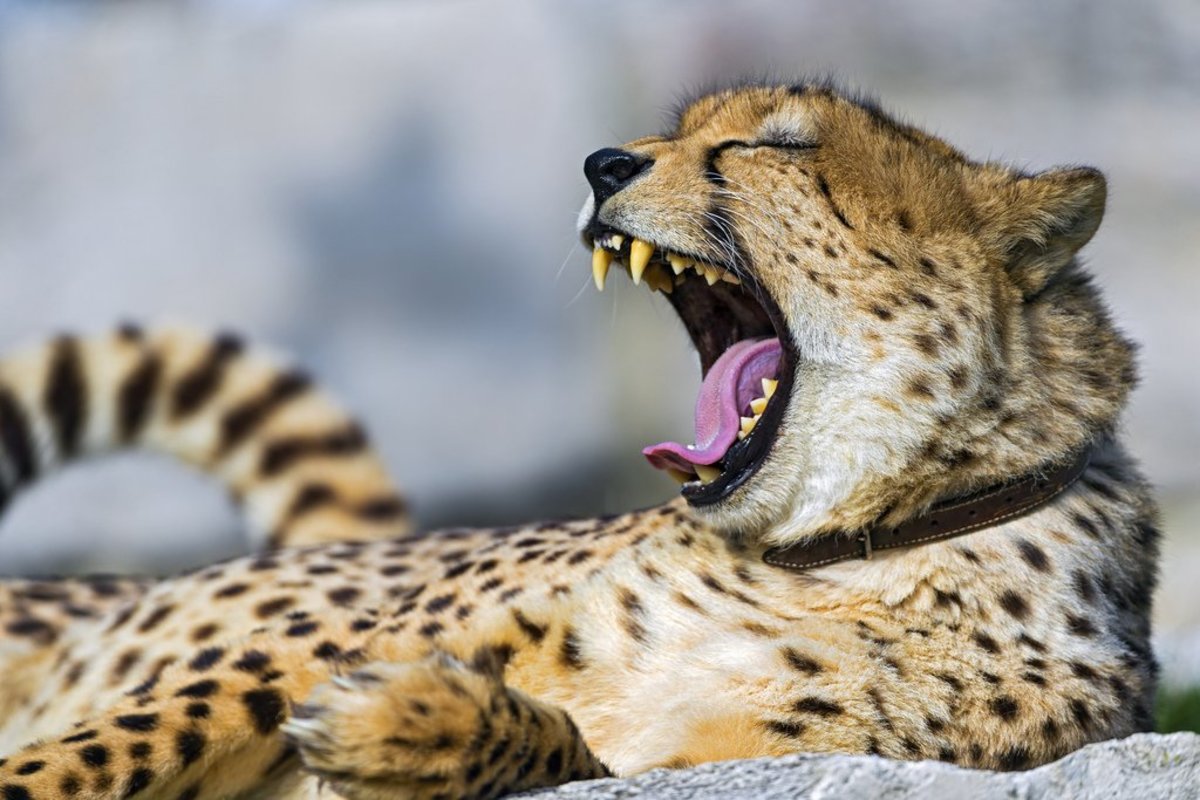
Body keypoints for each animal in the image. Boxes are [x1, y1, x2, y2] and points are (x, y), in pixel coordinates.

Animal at [0, 81, 1159, 800]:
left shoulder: (708, 769)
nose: (602, 162)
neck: (838, 555)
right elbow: (139, 730)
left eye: (774, 144)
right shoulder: (295, 652)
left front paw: (414, 723)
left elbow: (568, 745)